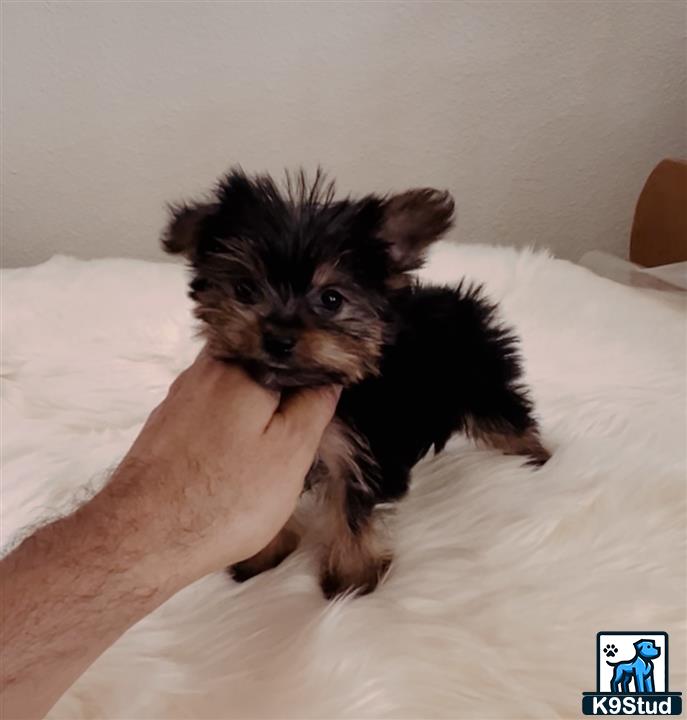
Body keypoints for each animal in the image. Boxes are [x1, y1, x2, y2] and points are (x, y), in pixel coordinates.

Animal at [164, 167, 552, 596]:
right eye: (244, 289)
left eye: (332, 299)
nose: (278, 338)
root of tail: (460, 299)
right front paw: (264, 555)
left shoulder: (360, 452)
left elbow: (352, 513)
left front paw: (352, 580)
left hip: (482, 381)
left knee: (508, 415)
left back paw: (534, 455)